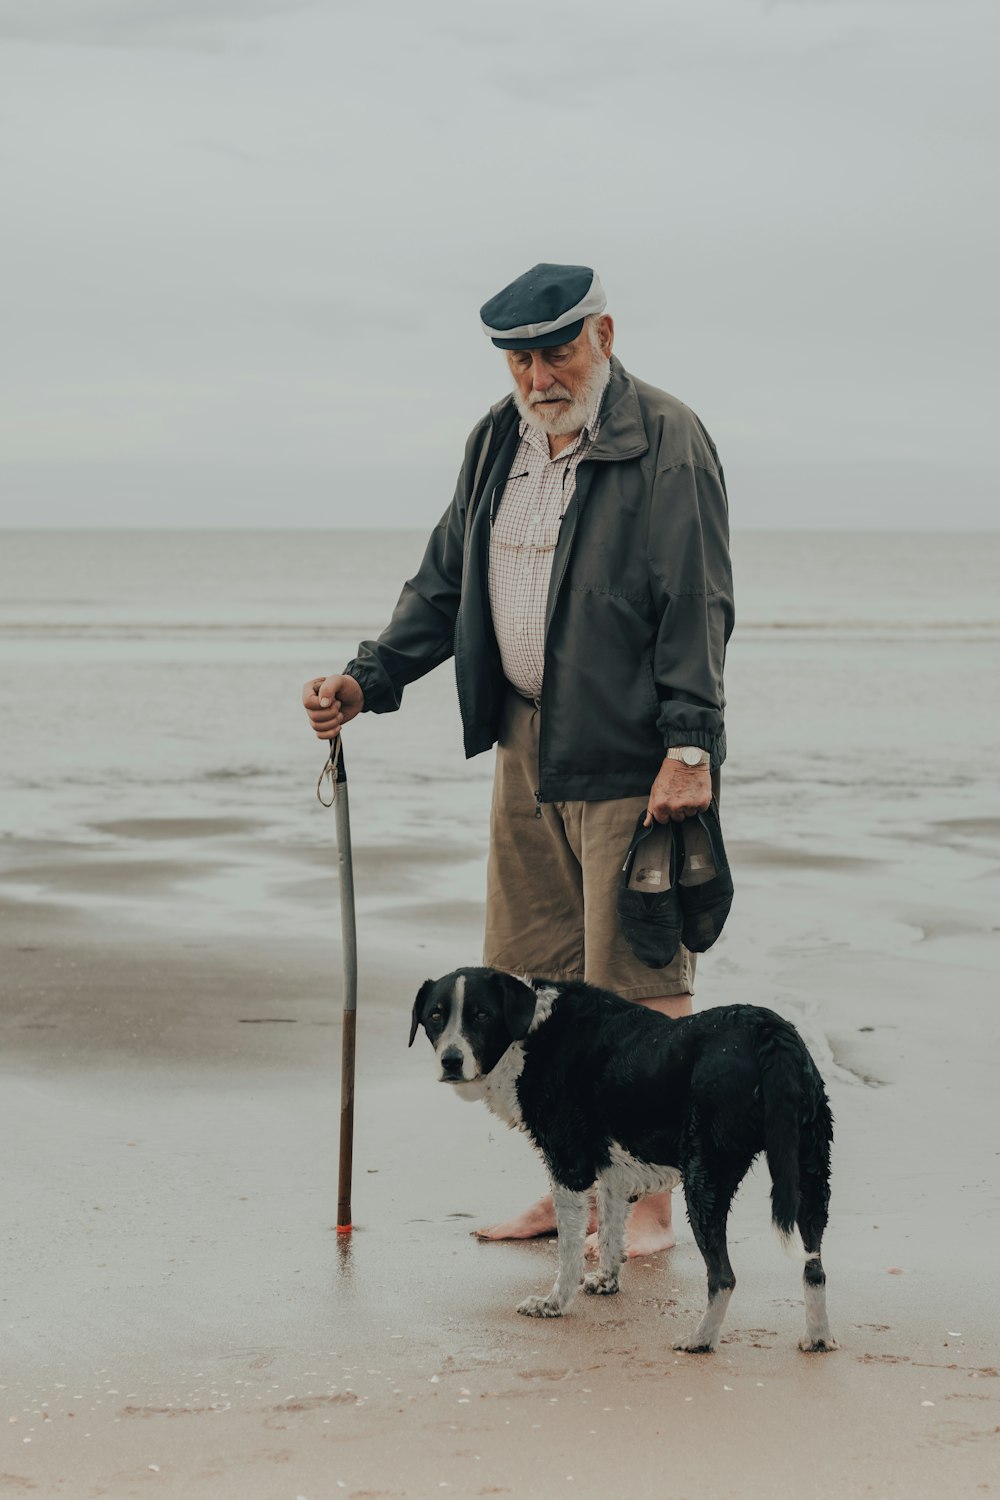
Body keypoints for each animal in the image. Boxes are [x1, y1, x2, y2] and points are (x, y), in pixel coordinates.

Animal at [407, 966, 839, 1356]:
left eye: (481, 1014)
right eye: (435, 1016)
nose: (450, 1061)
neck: (529, 1030)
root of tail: (771, 1032)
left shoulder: (569, 1167)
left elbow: (568, 1251)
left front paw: (553, 1304)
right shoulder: (613, 1172)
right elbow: (611, 1232)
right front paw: (606, 1282)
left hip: (706, 1178)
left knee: (724, 1277)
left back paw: (700, 1340)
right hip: (811, 1171)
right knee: (815, 1267)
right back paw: (818, 1338)